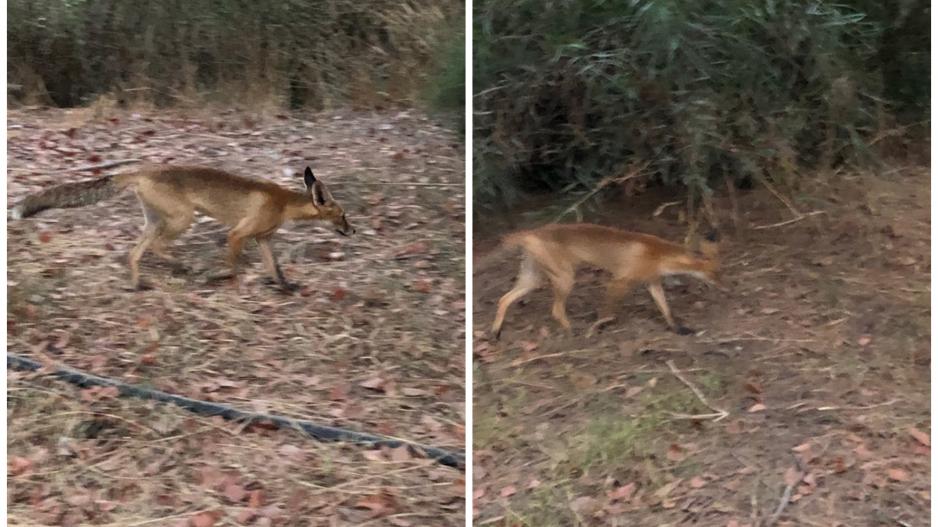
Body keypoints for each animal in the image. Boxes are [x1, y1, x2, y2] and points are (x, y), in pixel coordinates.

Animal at [11, 164, 354, 290]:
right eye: (343, 215)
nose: (353, 231)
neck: (283, 204)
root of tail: (142, 170)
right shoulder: (239, 234)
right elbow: (233, 266)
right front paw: (223, 278)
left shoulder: (262, 240)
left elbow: (275, 269)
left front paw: (286, 287)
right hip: (182, 219)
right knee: (157, 247)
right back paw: (184, 267)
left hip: (158, 221)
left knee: (134, 253)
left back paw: (138, 284)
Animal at [486, 223, 720, 338]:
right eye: (715, 273)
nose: (722, 286)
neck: (659, 255)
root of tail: (532, 232)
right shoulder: (619, 281)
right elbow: (607, 313)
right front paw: (596, 329)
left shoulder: (652, 282)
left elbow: (667, 311)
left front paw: (679, 329)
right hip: (565, 279)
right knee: (556, 310)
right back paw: (573, 332)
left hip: (533, 279)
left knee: (503, 299)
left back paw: (496, 332)